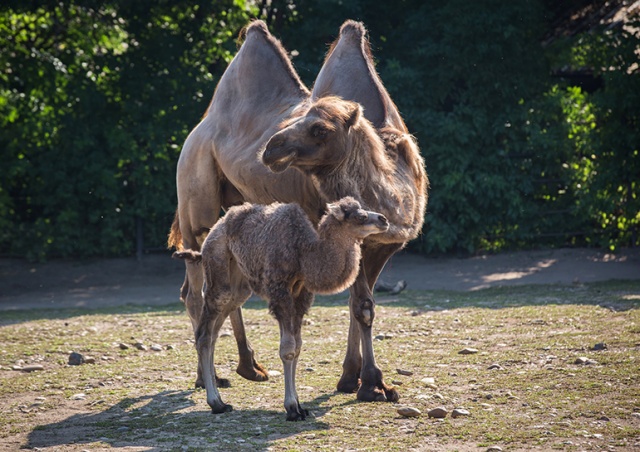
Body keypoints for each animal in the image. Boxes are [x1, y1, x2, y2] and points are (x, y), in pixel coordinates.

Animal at [172, 196, 388, 422]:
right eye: (360, 216)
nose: (383, 219)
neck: (303, 252)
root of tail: (211, 235)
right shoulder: (279, 292)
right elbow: (288, 349)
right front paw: (291, 408)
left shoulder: (301, 296)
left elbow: (298, 346)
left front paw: (300, 407)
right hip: (218, 266)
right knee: (205, 333)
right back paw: (216, 403)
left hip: (238, 282)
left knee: (215, 330)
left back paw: (220, 400)